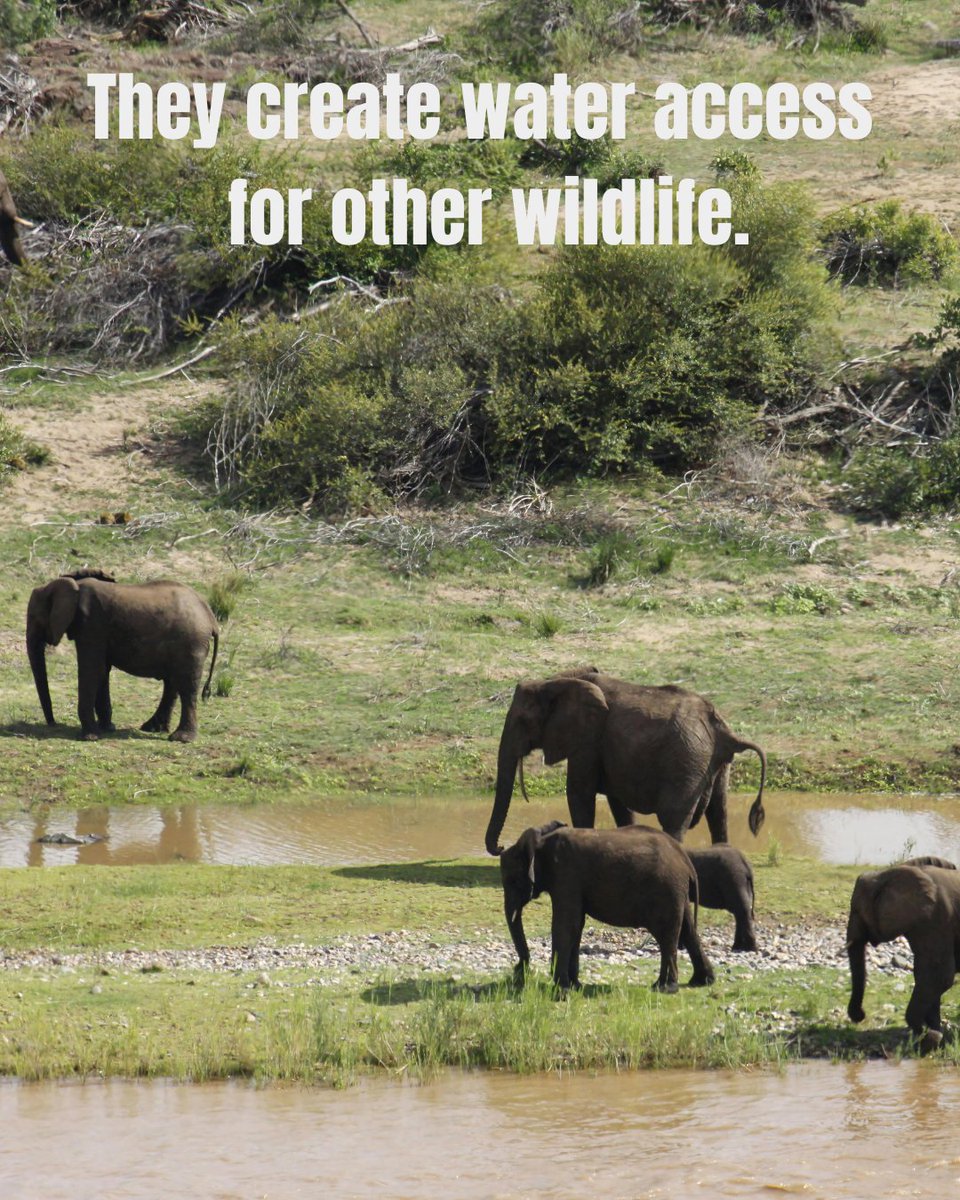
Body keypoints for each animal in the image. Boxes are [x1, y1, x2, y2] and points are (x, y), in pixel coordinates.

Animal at [27, 570, 219, 742]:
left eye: (35, 617)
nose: (52, 723)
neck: (73, 585)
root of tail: (211, 617)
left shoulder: (92, 624)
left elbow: (91, 669)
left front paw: (90, 737)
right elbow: (102, 671)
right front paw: (106, 728)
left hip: (191, 642)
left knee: (187, 686)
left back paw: (181, 738)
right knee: (172, 684)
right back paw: (152, 728)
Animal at [485, 669, 766, 855]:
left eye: (523, 721)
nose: (501, 847)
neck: (555, 680)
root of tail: (722, 729)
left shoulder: (588, 740)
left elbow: (579, 794)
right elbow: (618, 804)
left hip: (687, 759)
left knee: (674, 817)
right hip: (713, 762)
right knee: (719, 811)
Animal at [499, 820, 715, 991]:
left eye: (512, 880)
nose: (519, 970)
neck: (542, 840)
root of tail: (685, 859)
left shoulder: (566, 873)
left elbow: (565, 924)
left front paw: (562, 990)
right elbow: (576, 925)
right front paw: (575, 986)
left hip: (667, 891)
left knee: (667, 936)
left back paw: (664, 988)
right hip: (677, 893)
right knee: (688, 930)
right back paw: (701, 982)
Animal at [846, 862, 960, 1048]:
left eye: (856, 911)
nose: (860, 1016)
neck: (887, 874)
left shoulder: (937, 920)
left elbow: (939, 977)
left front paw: (929, 1039)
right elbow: (925, 976)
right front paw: (933, 1037)